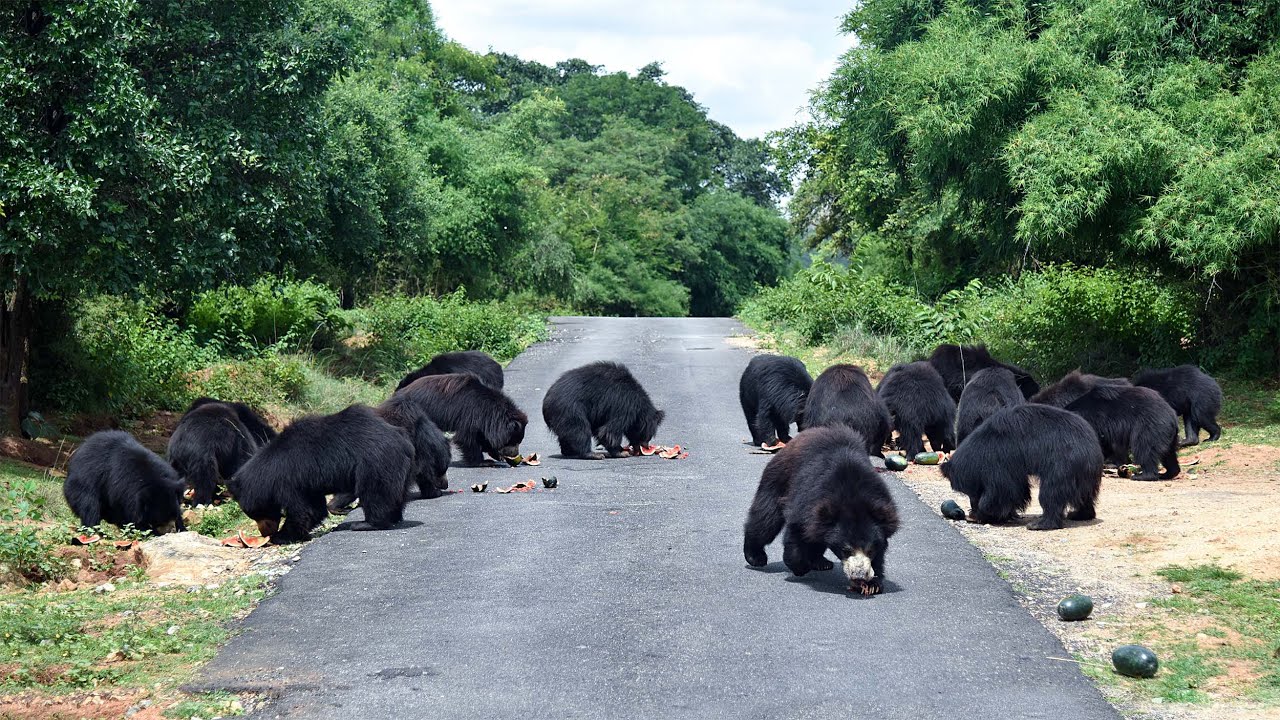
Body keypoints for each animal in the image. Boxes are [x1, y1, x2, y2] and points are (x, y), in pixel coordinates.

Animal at [228, 405, 413, 543]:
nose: (265, 533)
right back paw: (394, 517)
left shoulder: (289, 479)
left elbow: (303, 510)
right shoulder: (307, 482)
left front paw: (280, 537)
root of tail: (403, 441)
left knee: (375, 493)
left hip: (376, 463)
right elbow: (315, 508)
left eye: (256, 514)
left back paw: (367, 524)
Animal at [396, 373, 527, 466]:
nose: (515, 454)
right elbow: (466, 438)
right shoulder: (469, 414)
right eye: (513, 441)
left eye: (519, 441)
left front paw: (496, 455)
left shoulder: (482, 420)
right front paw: (483, 462)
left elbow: (482, 435)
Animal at [742, 426, 900, 595]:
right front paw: (800, 567)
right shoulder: (808, 501)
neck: (852, 495)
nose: (859, 575)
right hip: (777, 479)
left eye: (870, 550)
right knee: (765, 518)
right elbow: (797, 531)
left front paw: (872, 584)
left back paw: (821, 562)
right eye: (846, 550)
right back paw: (756, 557)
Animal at [940, 404, 1103, 530]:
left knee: (1051, 493)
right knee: (1084, 496)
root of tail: (1094, 447)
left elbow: (1002, 490)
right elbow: (1017, 490)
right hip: (1081, 473)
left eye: (970, 491)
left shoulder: (998, 460)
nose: (971, 509)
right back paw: (1079, 514)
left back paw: (1040, 524)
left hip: (1063, 464)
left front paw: (983, 514)